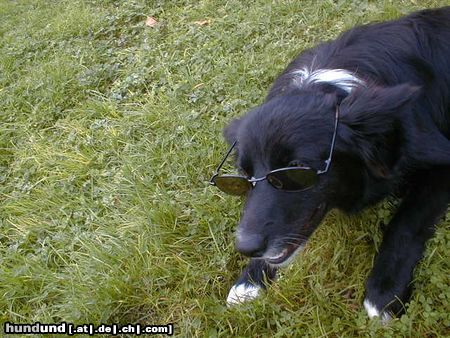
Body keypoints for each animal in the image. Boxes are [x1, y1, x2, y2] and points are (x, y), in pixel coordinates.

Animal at [211, 6, 450, 320]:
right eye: (243, 176)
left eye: (296, 172)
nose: (246, 248)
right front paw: (250, 280)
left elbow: (405, 222)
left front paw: (384, 290)